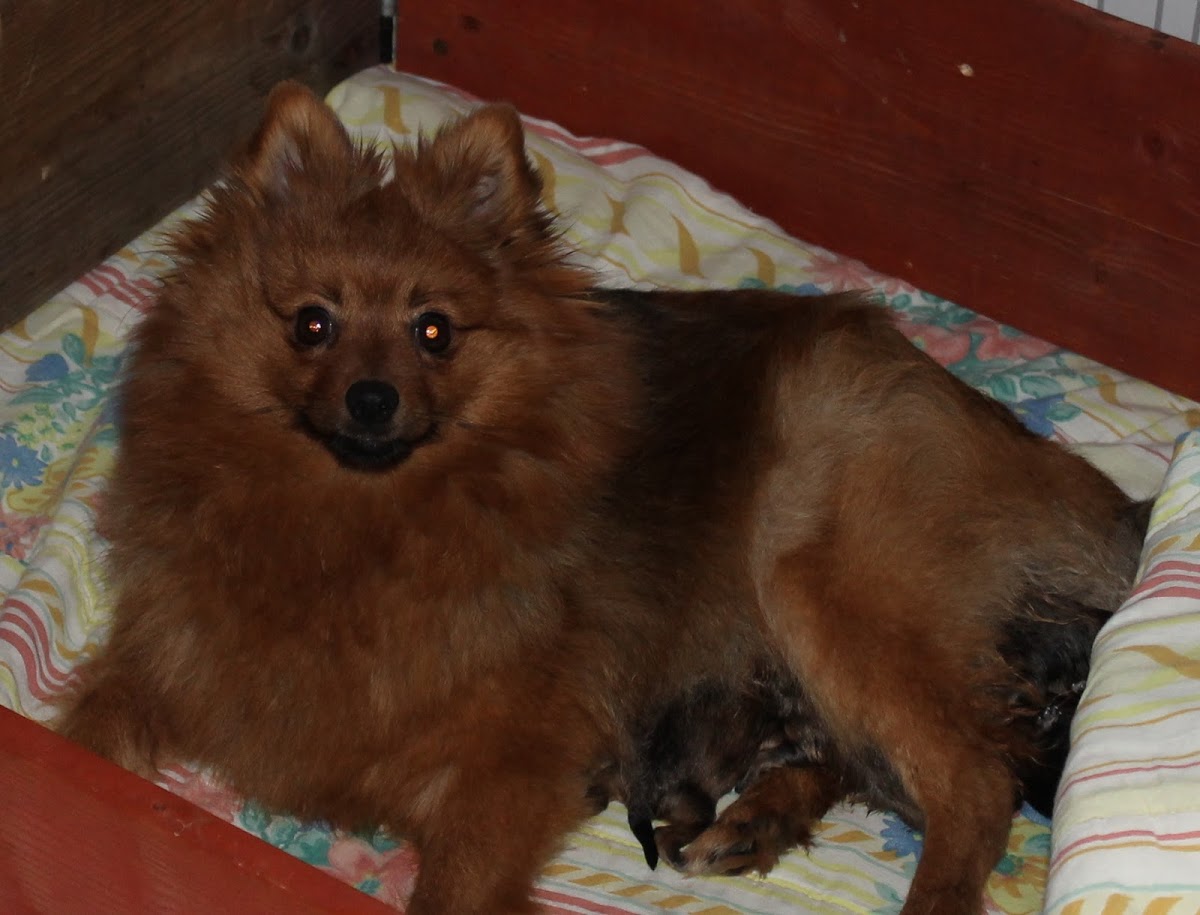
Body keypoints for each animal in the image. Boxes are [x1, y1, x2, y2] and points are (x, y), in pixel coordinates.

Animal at [56, 82, 1142, 907]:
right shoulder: (171, 663)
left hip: (813, 567)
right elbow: (80, 740)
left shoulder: (506, 766)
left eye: (433, 331)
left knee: (974, 783)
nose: (372, 399)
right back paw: (755, 821)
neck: (356, 527)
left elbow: (452, 884)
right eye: (311, 323)